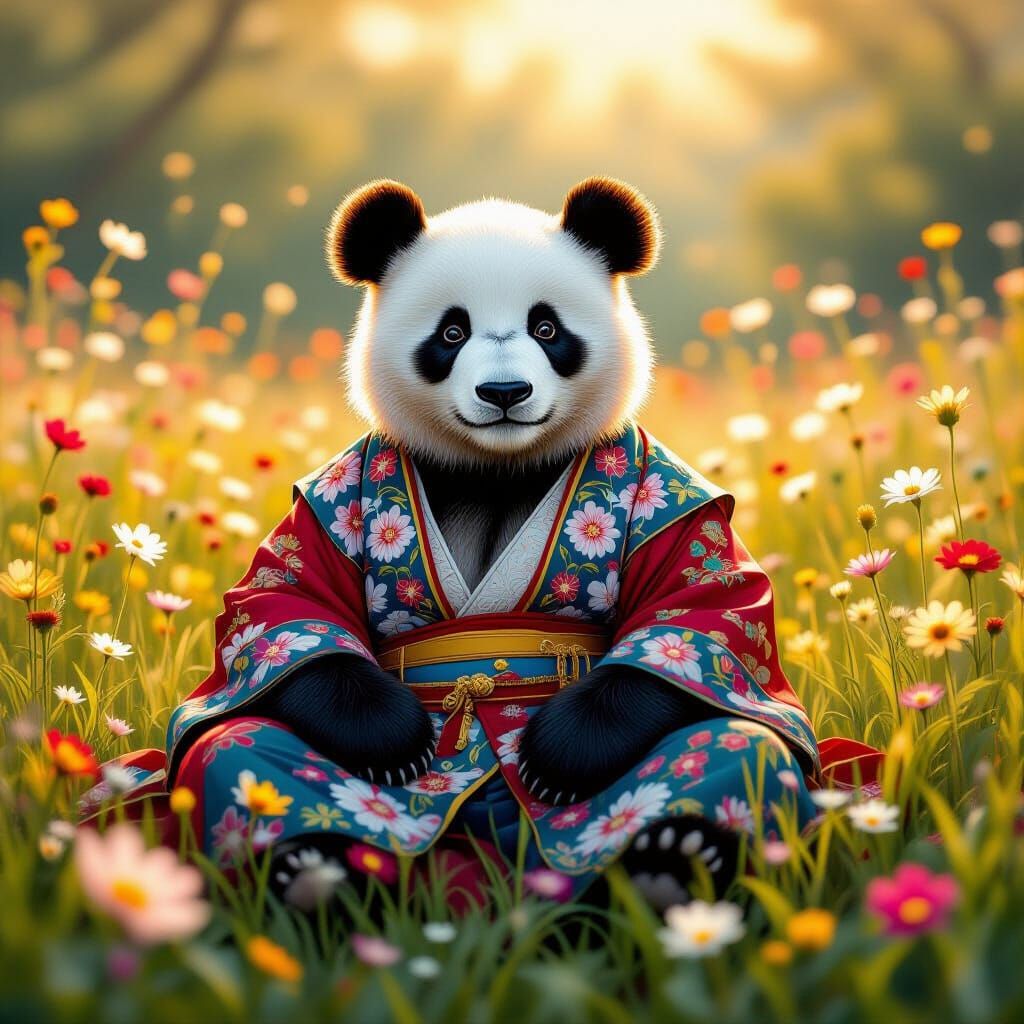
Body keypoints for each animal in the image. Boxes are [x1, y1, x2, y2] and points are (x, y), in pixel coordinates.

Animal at [175, 177, 818, 910]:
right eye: (451, 332)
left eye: (547, 328)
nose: (505, 391)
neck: (498, 467)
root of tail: (489, 859)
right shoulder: (335, 501)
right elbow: (286, 614)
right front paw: (393, 741)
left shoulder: (666, 497)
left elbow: (698, 620)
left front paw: (557, 758)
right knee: (245, 749)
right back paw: (314, 871)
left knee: (734, 749)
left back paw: (670, 861)